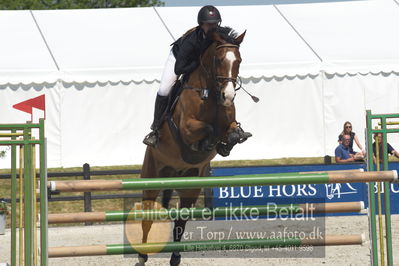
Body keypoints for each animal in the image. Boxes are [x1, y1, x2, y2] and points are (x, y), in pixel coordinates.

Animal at [139, 27, 248, 266]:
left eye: (239, 60)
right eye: (219, 60)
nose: (228, 96)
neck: (211, 94)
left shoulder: (228, 122)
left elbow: (231, 131)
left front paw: (227, 143)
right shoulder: (187, 128)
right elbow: (207, 128)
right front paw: (208, 142)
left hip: (190, 187)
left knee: (180, 222)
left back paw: (175, 257)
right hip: (151, 177)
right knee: (147, 217)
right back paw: (141, 256)